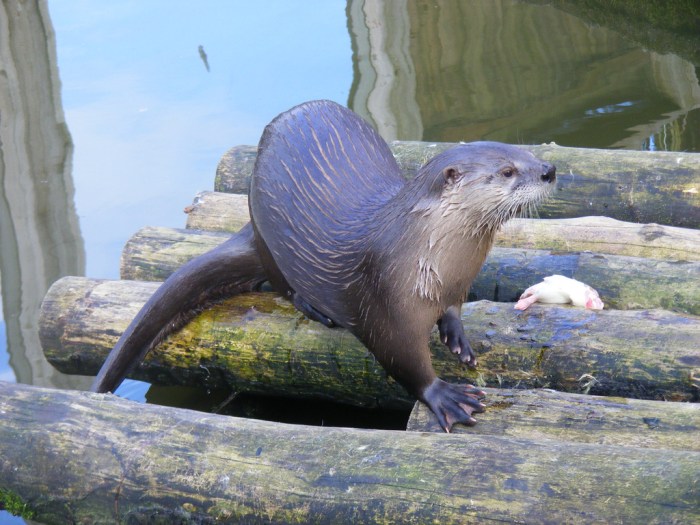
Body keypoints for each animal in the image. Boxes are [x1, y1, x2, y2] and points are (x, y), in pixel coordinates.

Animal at [91, 100, 556, 431]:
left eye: (528, 152)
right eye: (508, 171)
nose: (550, 169)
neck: (432, 262)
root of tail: (250, 225)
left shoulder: (456, 285)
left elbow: (455, 311)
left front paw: (457, 337)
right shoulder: (384, 304)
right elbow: (402, 361)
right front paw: (444, 396)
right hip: (270, 239)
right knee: (282, 284)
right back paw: (314, 308)